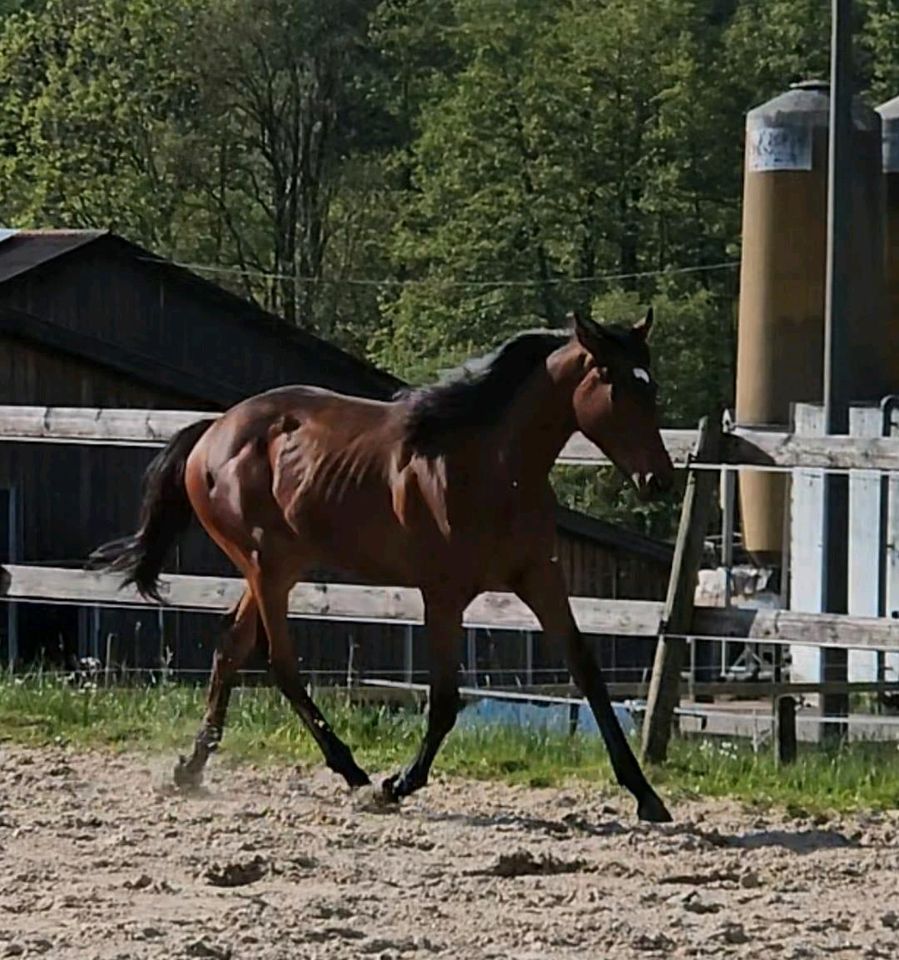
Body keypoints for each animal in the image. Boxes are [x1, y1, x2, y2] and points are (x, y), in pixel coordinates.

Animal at [95, 312, 680, 820]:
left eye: (651, 387)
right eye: (614, 383)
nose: (659, 480)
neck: (492, 468)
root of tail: (216, 430)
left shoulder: (539, 577)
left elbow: (588, 673)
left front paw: (647, 796)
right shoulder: (443, 592)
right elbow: (444, 699)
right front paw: (397, 785)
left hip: (277, 564)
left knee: (232, 648)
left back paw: (192, 768)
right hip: (268, 564)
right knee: (279, 662)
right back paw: (353, 773)